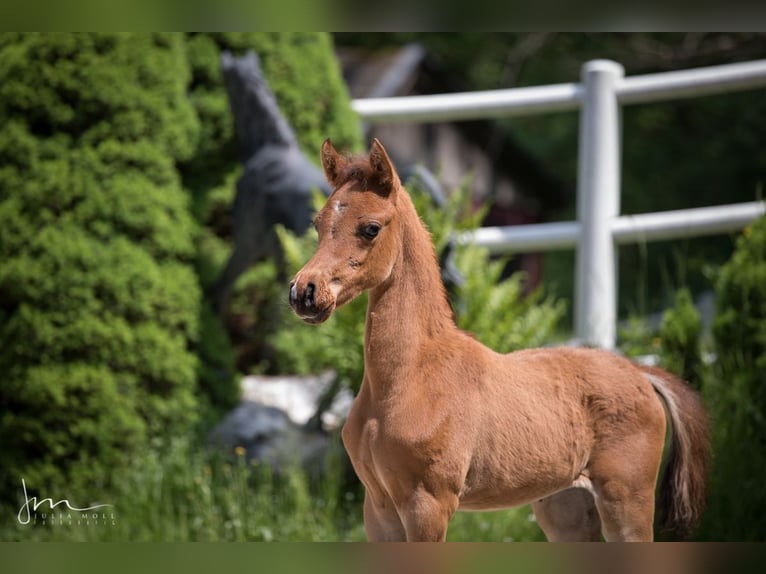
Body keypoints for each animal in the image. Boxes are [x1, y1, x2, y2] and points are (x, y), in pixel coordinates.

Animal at [290, 140, 712, 544]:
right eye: (318, 223)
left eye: (371, 228)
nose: (304, 292)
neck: (408, 378)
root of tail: (641, 373)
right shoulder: (378, 507)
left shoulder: (428, 504)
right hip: (566, 506)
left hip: (627, 498)